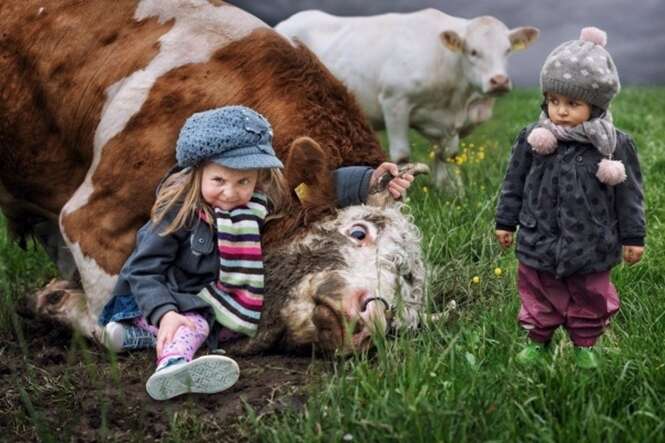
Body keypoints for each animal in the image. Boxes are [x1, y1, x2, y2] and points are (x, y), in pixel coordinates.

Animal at [0, 0, 426, 354]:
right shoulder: (93, 219)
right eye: (358, 232)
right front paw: (52, 301)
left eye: (403, 313)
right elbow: (117, 324)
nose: (372, 318)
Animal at [274, 8, 540, 189]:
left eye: (507, 50)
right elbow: (402, 156)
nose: (499, 81)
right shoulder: (395, 101)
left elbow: (446, 155)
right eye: (473, 52)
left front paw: (449, 189)